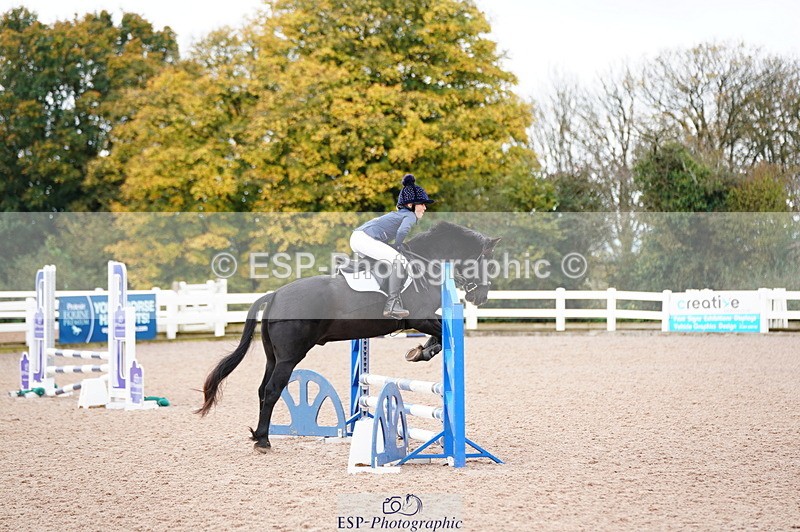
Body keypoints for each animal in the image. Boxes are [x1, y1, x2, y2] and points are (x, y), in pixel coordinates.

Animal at [196, 221, 500, 452]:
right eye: (487, 262)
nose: (480, 297)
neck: (427, 265)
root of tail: (275, 295)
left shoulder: (422, 318)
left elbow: (440, 333)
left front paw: (420, 351)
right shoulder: (419, 317)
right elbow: (442, 332)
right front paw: (423, 352)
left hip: (274, 357)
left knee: (262, 390)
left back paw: (259, 435)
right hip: (289, 357)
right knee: (272, 390)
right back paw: (263, 441)